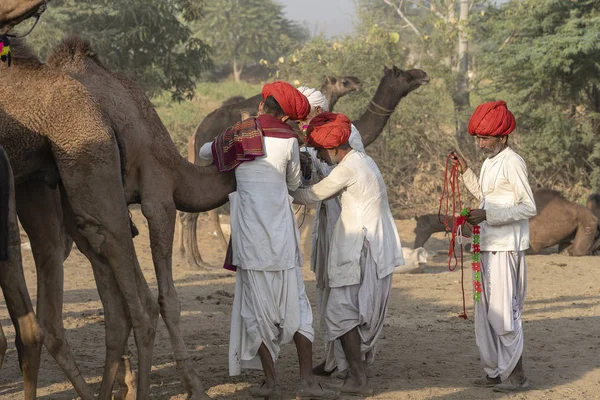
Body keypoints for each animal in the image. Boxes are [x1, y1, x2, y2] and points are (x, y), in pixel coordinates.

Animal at [180, 66, 428, 268]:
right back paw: (196, 261)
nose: (423, 74)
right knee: (196, 213)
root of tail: (198, 131)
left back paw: (198, 258)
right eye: (404, 75)